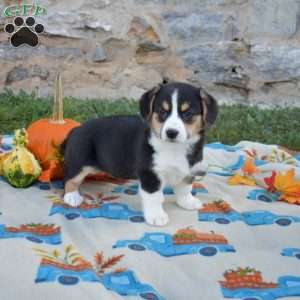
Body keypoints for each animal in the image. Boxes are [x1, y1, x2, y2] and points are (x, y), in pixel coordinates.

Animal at [62, 82, 218, 225]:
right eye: (162, 112)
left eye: (188, 114)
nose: (171, 133)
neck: (174, 148)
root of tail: (76, 129)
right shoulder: (150, 174)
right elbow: (154, 197)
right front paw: (157, 216)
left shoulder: (188, 170)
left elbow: (185, 189)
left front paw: (187, 202)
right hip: (80, 162)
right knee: (70, 179)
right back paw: (72, 196)